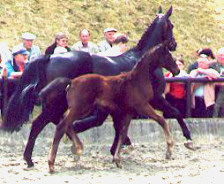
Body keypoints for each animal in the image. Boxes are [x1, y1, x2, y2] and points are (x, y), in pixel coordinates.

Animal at [47, 43, 178, 172]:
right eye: (169, 55)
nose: (177, 70)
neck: (137, 80)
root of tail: (72, 82)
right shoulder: (142, 106)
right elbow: (161, 121)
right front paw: (169, 151)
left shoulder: (128, 112)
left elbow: (123, 133)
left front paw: (117, 160)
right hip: (80, 109)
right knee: (62, 126)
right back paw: (52, 164)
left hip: (79, 110)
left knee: (66, 124)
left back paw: (77, 148)